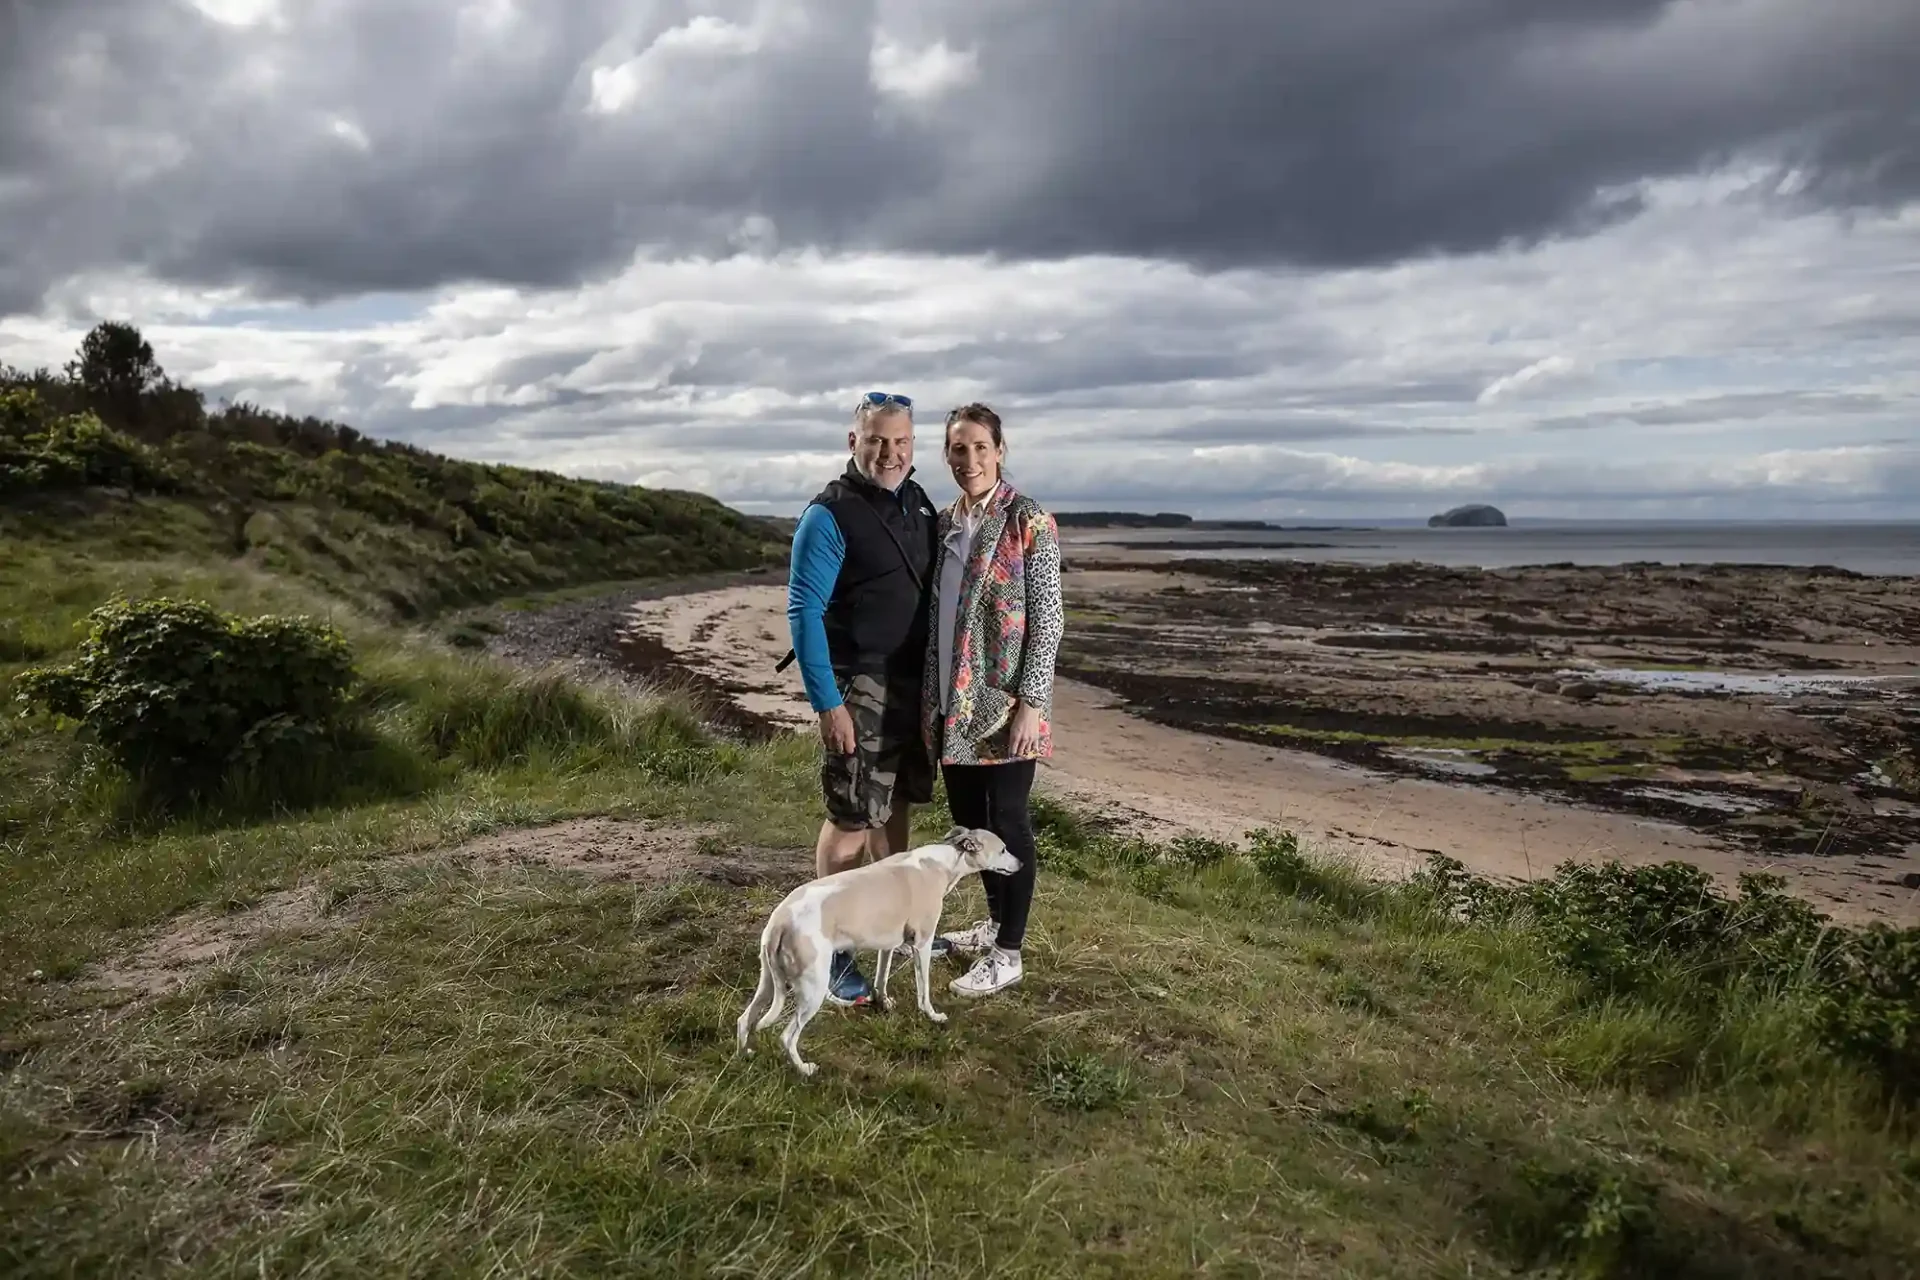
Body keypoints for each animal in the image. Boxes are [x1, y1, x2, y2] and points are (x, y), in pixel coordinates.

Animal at [733, 825, 1021, 1074]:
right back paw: (804, 1069)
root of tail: (780, 921)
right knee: (787, 1036)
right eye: (1004, 849)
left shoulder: (888, 945)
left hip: (768, 981)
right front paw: (932, 1015)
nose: (1022, 864)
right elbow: (924, 990)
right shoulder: (922, 944)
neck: (940, 862)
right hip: (812, 989)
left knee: (744, 1020)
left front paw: (883, 1003)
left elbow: (881, 979)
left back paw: (744, 1055)